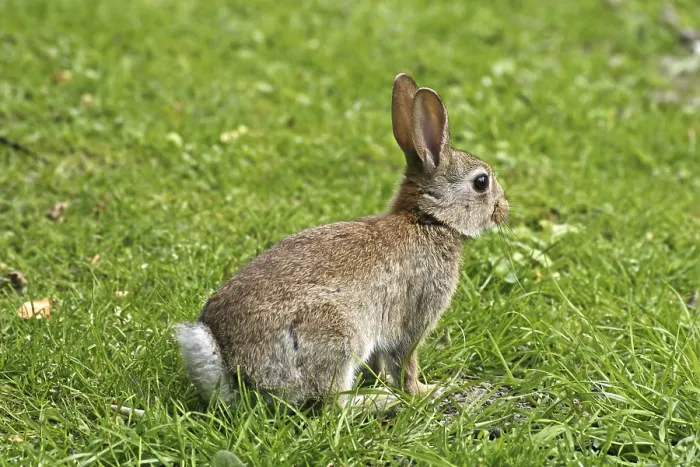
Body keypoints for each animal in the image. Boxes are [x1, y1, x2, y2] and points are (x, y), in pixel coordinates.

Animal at [175, 73, 509, 410]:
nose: (504, 207)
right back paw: (380, 401)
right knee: (333, 405)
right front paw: (426, 392)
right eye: (481, 182)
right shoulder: (414, 318)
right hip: (338, 335)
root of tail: (233, 368)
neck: (428, 220)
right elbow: (405, 363)